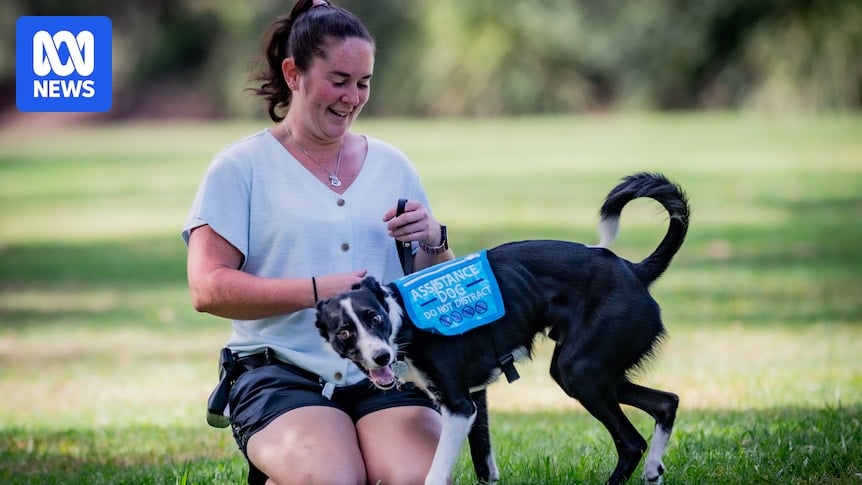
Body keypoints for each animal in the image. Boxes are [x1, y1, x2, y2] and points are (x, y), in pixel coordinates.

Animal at [314, 174, 692, 484]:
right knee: (666, 403)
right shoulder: (475, 402)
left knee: (631, 442)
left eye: (374, 318)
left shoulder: (459, 407)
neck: (403, 319)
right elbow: (484, 466)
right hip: (594, 373)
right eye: (344, 332)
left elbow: (434, 476)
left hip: (582, 373)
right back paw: (653, 469)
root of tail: (635, 269)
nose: (380, 357)